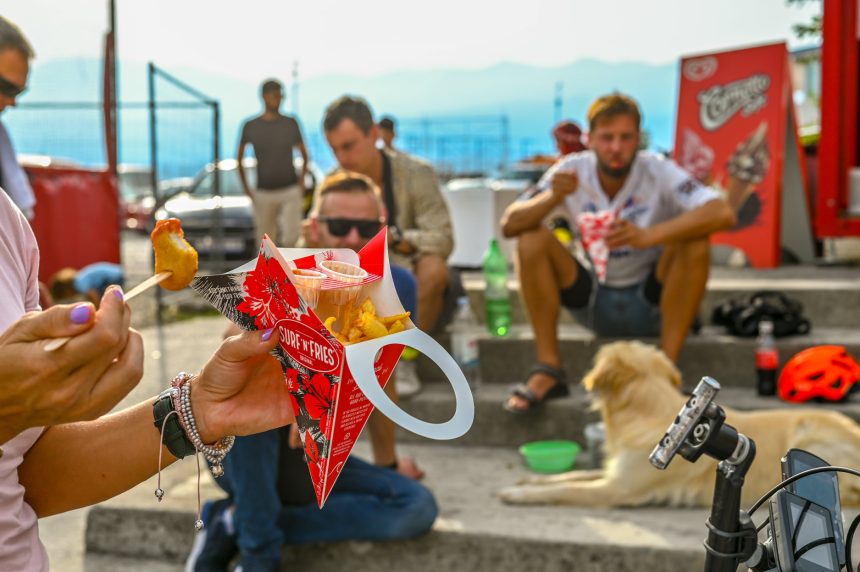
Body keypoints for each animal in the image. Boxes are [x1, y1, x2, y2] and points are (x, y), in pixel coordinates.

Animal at [500, 342, 860, 508]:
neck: (647, 407)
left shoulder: (617, 489)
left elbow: (565, 488)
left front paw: (517, 494)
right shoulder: (615, 472)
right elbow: (569, 476)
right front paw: (529, 480)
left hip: (809, 436)